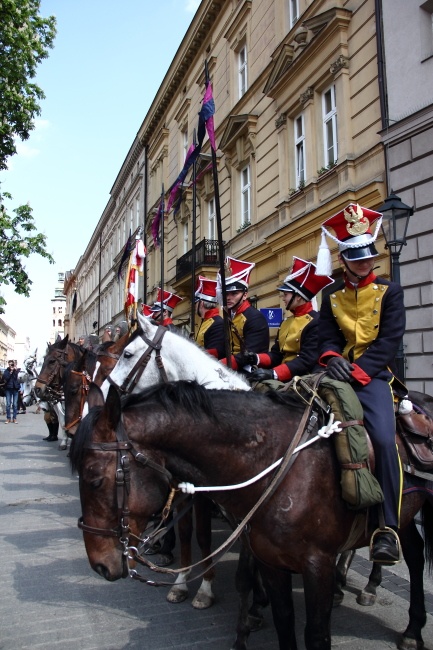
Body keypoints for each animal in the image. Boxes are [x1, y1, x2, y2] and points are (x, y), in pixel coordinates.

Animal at [71, 380, 432, 648]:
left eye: (94, 479)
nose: (100, 565)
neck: (279, 462)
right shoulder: (270, 558)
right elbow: (284, 621)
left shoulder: (318, 564)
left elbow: (316, 634)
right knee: (415, 552)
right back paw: (412, 628)